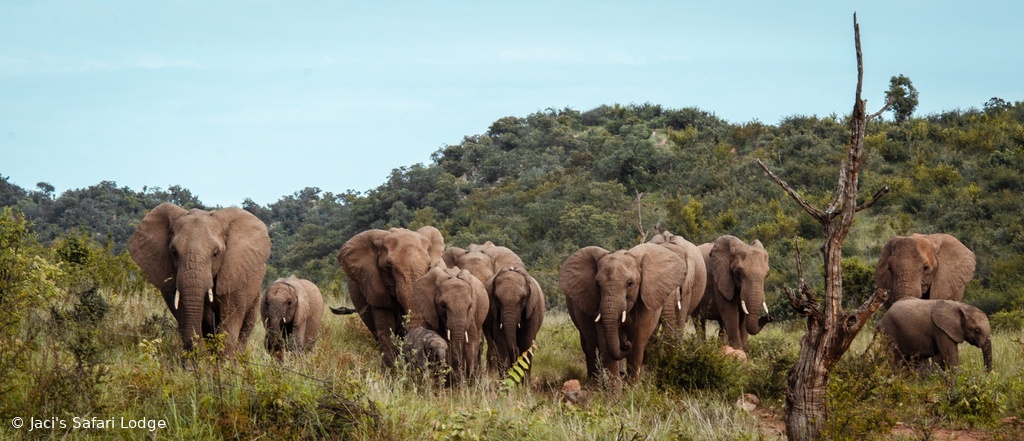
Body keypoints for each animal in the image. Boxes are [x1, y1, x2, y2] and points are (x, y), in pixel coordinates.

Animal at [129, 202, 271, 355]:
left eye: (216, 253)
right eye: (173, 252)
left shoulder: (234, 272)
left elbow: (231, 317)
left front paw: (225, 361)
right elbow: (181, 311)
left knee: (247, 324)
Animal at [560, 243, 686, 384]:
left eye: (630, 284)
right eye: (597, 285)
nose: (625, 344)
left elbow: (637, 342)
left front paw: (632, 387)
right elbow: (604, 340)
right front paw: (615, 387)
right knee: (589, 345)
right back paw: (596, 383)